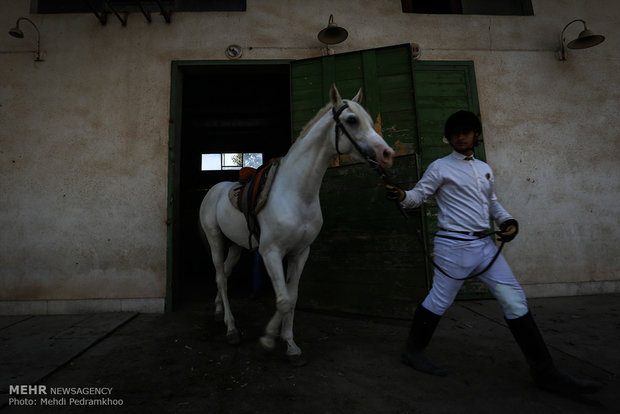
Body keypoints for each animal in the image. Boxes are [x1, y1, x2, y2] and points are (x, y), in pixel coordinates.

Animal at [200, 85, 392, 366]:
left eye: (368, 119)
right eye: (351, 120)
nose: (387, 154)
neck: (297, 193)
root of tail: (214, 190)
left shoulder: (300, 253)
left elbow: (292, 298)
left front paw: (289, 343)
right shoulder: (271, 253)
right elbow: (282, 300)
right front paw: (269, 340)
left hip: (236, 246)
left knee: (223, 273)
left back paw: (217, 310)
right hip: (215, 240)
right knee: (221, 278)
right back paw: (231, 328)